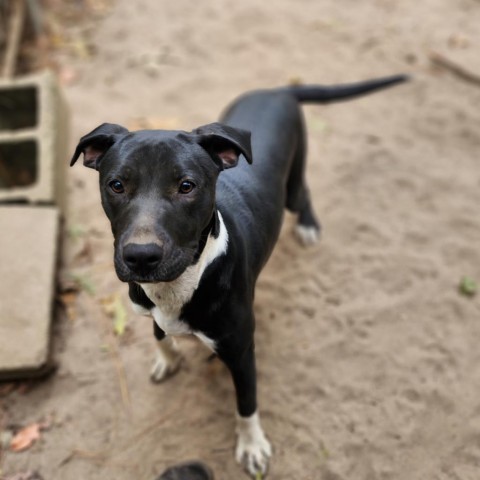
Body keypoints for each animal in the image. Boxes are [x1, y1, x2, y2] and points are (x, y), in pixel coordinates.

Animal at [71, 75, 406, 476]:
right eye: (116, 185)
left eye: (187, 186)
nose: (140, 256)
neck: (184, 280)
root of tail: (279, 90)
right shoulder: (148, 305)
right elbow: (158, 333)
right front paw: (167, 358)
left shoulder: (242, 351)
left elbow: (247, 404)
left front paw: (252, 446)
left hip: (293, 184)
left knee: (303, 193)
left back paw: (308, 225)